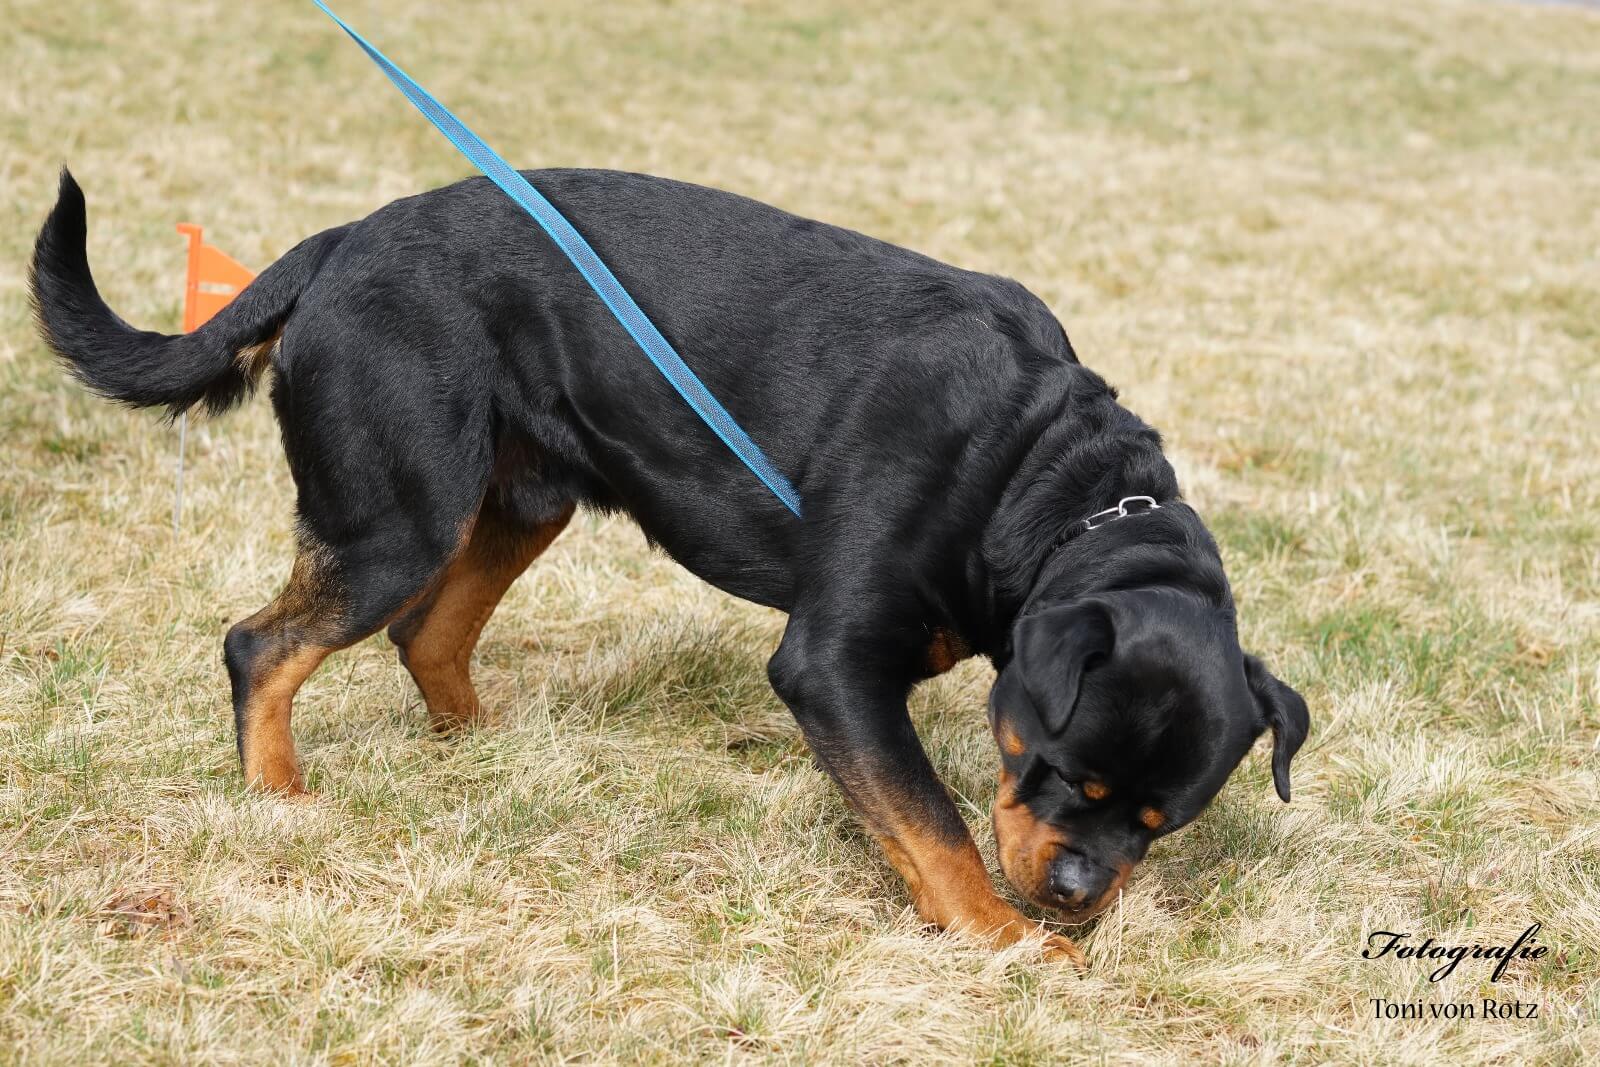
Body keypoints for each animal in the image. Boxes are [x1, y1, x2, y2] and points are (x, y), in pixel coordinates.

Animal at [31, 167, 1308, 966]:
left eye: (1160, 819)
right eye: (1063, 772)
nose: (1080, 893)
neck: (1035, 487)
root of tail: (341, 240)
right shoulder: (832, 662)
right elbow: (934, 821)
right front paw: (1008, 942)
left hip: (524, 494)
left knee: (425, 632)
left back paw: (484, 744)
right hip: (400, 512)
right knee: (265, 641)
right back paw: (277, 794)